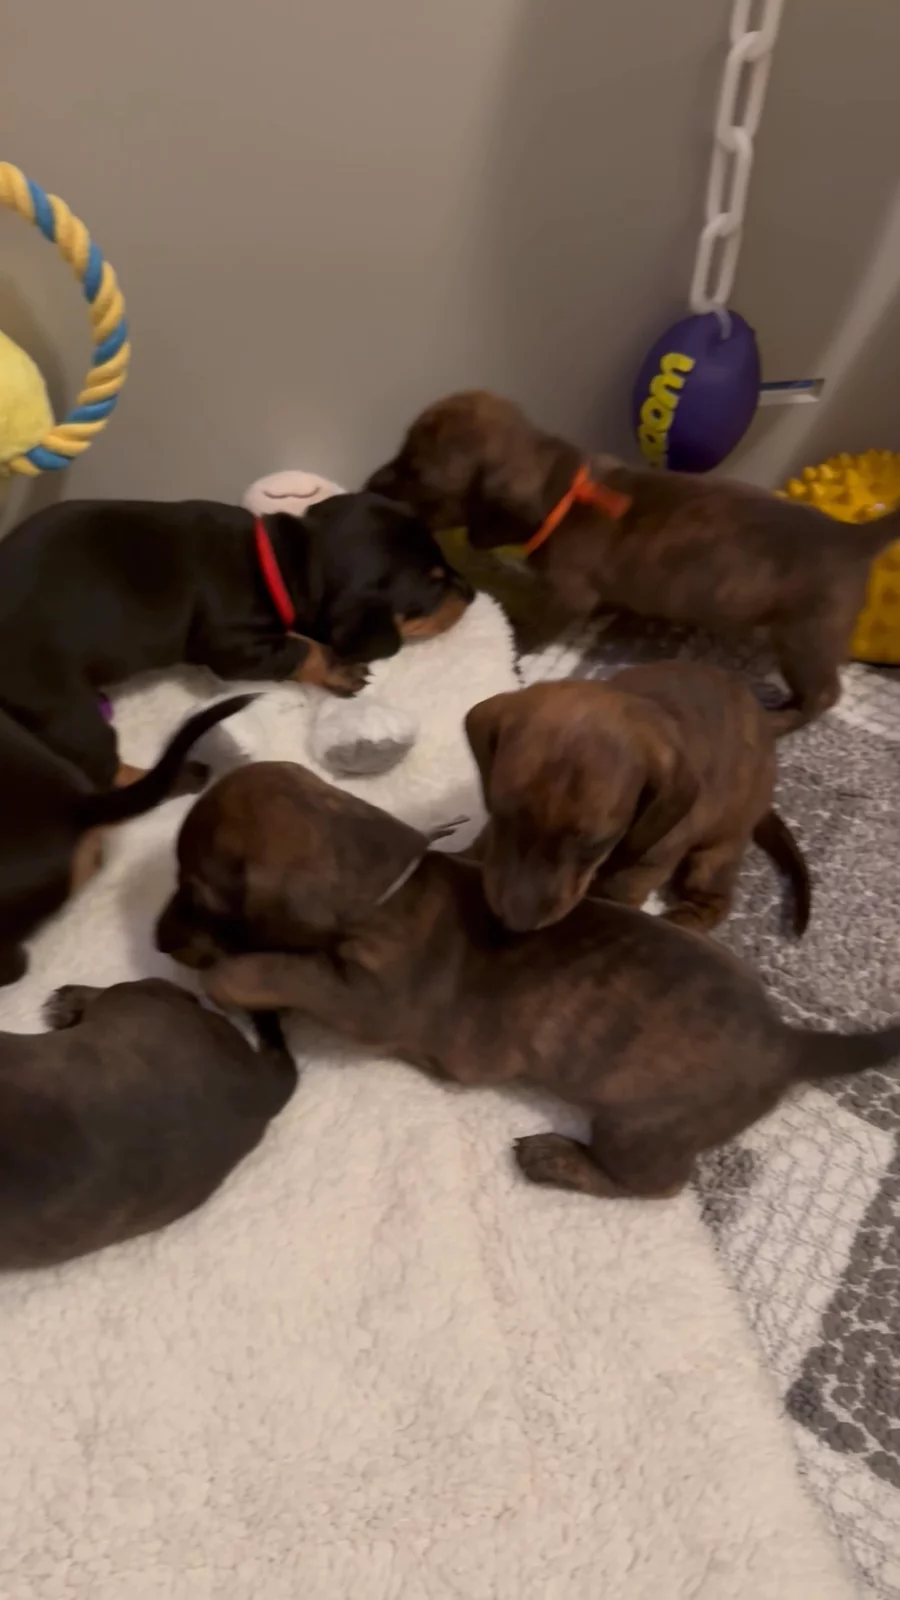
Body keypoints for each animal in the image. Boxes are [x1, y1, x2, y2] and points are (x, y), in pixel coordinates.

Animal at [0, 491, 472, 789]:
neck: (283, 562)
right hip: (64, 709)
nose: (471, 590)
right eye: (433, 585)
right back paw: (176, 779)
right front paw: (340, 670)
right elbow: (305, 647)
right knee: (103, 773)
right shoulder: (233, 646)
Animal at [154, 761, 899, 1204]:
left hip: (643, 1124)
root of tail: (791, 1041)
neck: (384, 882)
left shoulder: (365, 999)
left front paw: (225, 977)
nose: (157, 939)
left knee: (655, 1184)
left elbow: (280, 968)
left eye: (199, 891)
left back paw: (557, 1159)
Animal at [366, 391, 897, 730]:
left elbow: (533, 625)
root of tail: (851, 535)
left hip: (805, 637)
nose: (370, 485)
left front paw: (515, 637)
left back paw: (782, 718)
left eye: (419, 476)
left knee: (825, 694)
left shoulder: (566, 597)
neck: (562, 492)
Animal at [465, 663, 810, 935]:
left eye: (594, 845)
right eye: (498, 813)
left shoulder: (638, 872)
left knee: (714, 903)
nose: (515, 923)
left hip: (717, 851)